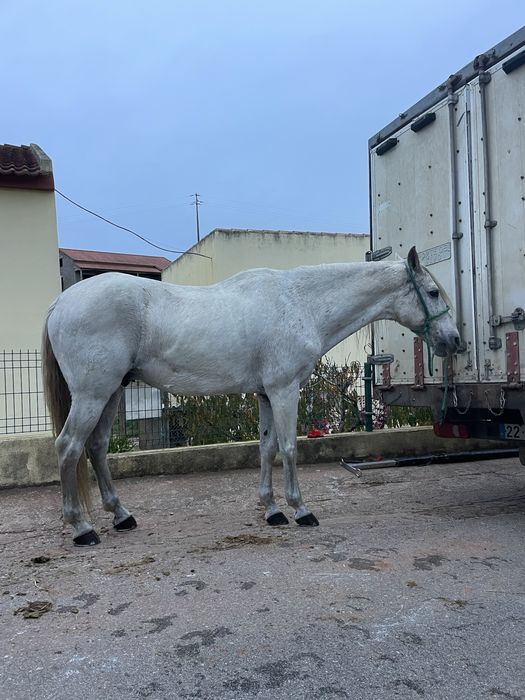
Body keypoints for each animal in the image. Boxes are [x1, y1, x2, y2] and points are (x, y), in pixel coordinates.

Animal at [42, 246, 460, 546]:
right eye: (433, 292)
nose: (454, 341)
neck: (300, 303)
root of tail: (61, 302)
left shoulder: (265, 394)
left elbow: (266, 447)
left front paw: (272, 509)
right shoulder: (285, 390)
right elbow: (289, 448)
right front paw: (300, 509)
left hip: (112, 392)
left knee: (96, 447)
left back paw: (121, 516)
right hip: (93, 394)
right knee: (68, 447)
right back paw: (82, 528)